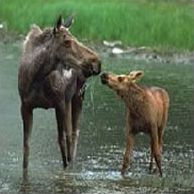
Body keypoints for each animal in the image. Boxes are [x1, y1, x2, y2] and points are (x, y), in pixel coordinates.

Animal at [17, 15, 101, 176]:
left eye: (74, 38)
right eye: (66, 41)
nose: (97, 62)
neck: (37, 77)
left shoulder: (60, 103)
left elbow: (63, 141)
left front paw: (67, 169)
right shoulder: (25, 106)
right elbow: (26, 148)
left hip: (77, 97)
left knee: (73, 135)